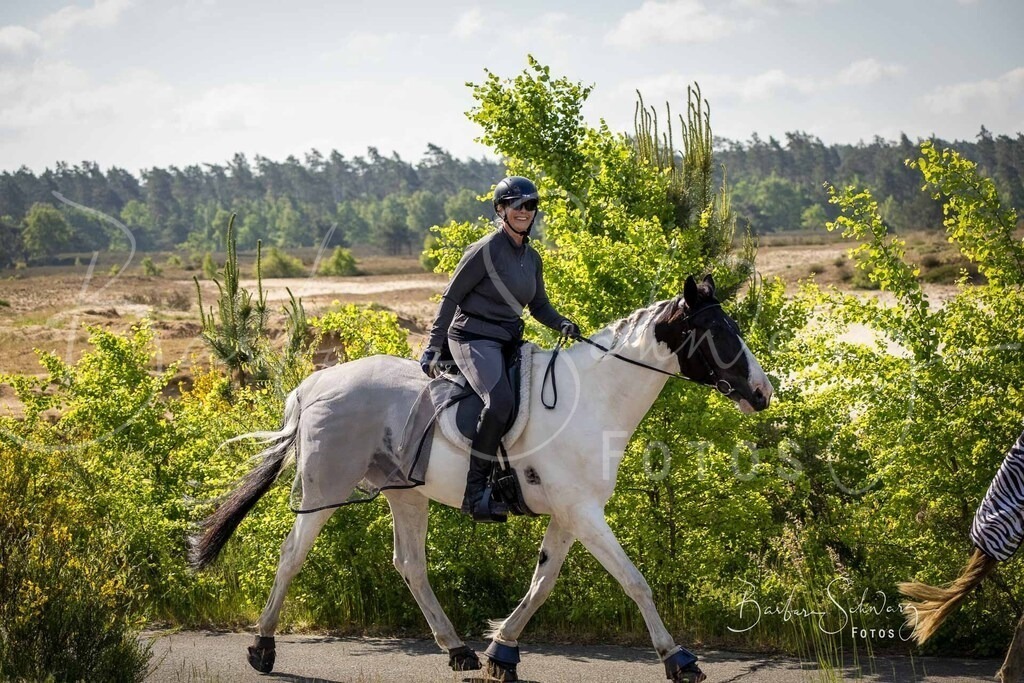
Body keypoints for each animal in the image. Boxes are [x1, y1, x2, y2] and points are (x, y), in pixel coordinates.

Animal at [190, 274, 774, 683]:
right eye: (718, 331)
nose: (763, 392)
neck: (594, 397)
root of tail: (313, 386)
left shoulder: (569, 514)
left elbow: (542, 584)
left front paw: (502, 652)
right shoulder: (584, 513)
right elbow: (634, 581)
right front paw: (679, 658)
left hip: (405, 494)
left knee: (411, 565)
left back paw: (459, 650)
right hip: (325, 489)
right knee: (292, 557)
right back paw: (262, 649)